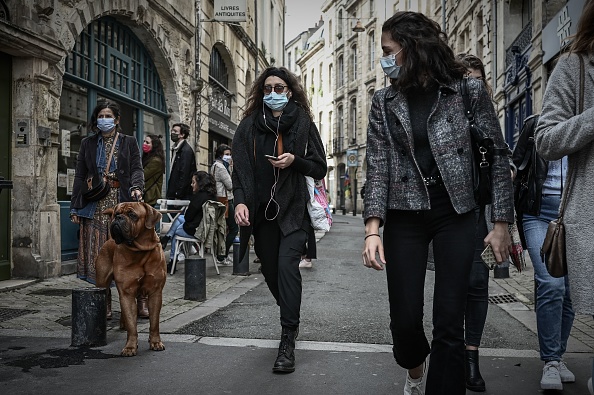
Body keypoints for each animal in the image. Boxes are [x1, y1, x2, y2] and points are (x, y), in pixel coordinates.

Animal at [95, 203, 165, 358]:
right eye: (117, 213)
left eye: (132, 215)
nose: (118, 218)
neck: (140, 251)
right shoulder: (127, 292)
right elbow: (132, 325)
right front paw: (130, 347)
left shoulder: (155, 293)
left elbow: (154, 322)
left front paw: (155, 342)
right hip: (102, 283)